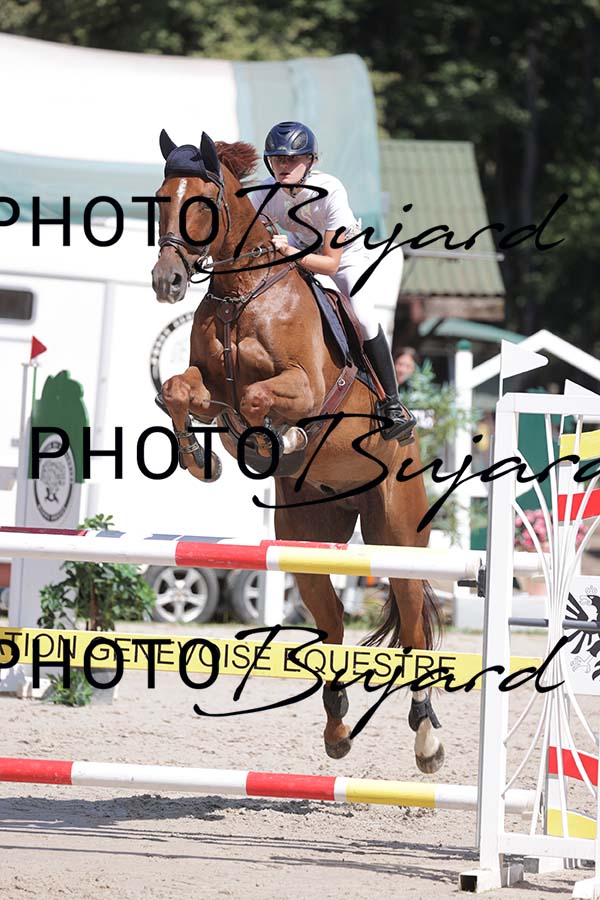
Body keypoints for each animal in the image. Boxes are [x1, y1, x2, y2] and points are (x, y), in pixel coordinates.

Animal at [151, 130, 444, 774]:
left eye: (201, 202)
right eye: (160, 198)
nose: (167, 282)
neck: (242, 293)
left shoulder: (305, 388)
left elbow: (259, 398)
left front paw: (277, 439)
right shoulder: (204, 381)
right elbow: (179, 390)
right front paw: (202, 458)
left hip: (399, 539)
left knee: (414, 630)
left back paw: (428, 740)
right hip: (307, 542)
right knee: (331, 625)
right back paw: (337, 730)